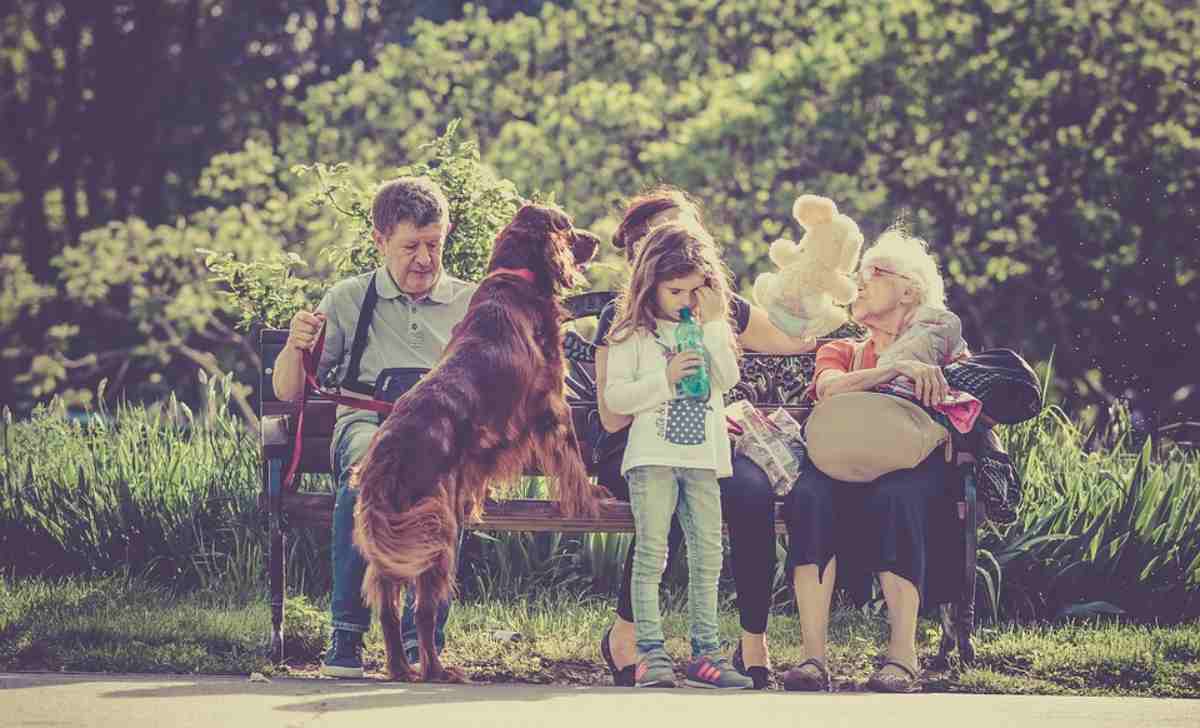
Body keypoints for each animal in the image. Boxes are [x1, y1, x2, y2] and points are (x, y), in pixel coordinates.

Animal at [350, 200, 604, 681]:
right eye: (565, 223)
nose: (598, 239)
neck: (516, 276)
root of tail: (387, 454)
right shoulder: (551, 403)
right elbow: (573, 459)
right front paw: (591, 499)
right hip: (436, 533)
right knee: (424, 610)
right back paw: (436, 670)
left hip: (402, 538)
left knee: (389, 607)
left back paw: (400, 668)